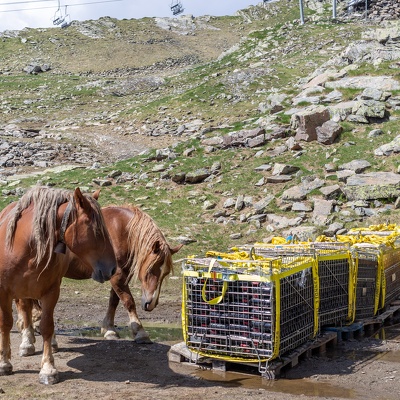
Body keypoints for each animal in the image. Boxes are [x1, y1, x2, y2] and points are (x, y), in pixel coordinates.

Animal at [0, 187, 116, 384]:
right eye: (96, 230)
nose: (113, 268)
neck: (26, 246)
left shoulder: (51, 291)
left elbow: (47, 325)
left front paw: (48, 369)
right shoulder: (4, 291)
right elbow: (6, 323)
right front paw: (4, 363)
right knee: (24, 310)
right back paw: (27, 343)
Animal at [16, 205, 182, 354]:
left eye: (165, 273)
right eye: (150, 270)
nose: (151, 303)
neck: (121, 230)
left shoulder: (120, 274)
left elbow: (114, 300)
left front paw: (109, 329)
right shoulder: (117, 275)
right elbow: (128, 301)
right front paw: (140, 332)